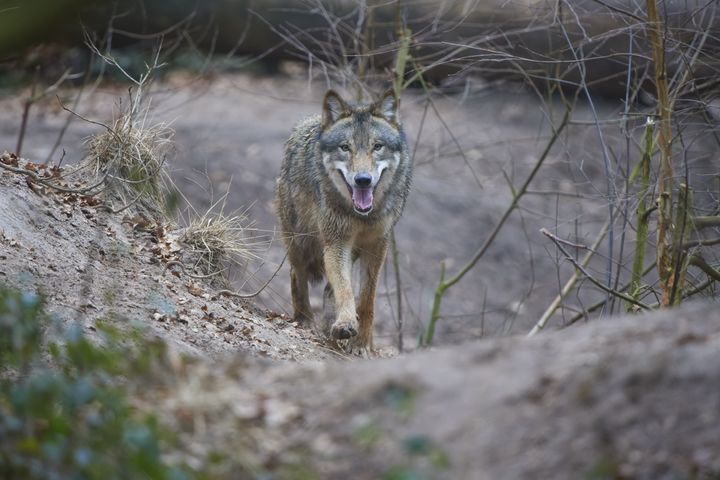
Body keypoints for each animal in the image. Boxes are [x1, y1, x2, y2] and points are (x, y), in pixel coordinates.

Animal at [274, 90, 410, 352]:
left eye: (377, 147)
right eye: (345, 148)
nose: (363, 180)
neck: (363, 216)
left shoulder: (378, 245)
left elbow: (366, 300)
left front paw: (362, 344)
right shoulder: (336, 243)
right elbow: (345, 289)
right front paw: (346, 324)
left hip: (350, 250)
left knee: (328, 288)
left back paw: (330, 328)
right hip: (300, 242)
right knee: (298, 275)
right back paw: (305, 321)